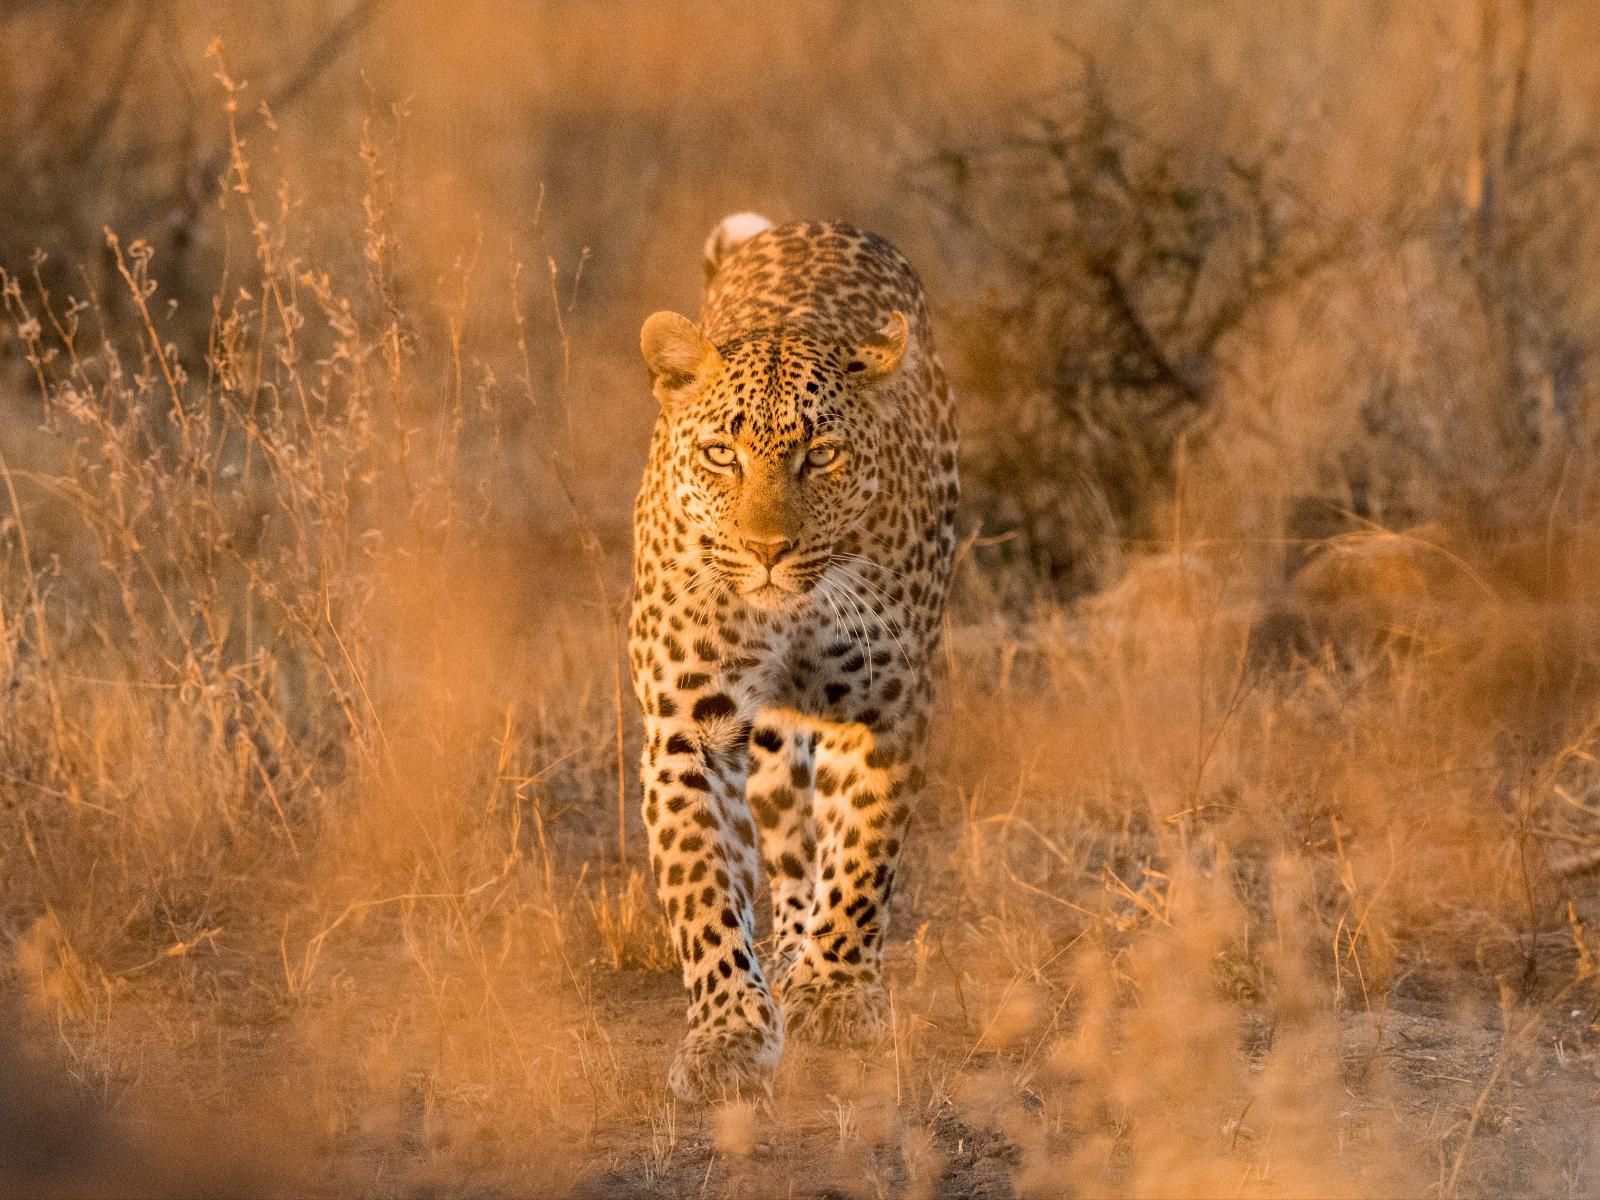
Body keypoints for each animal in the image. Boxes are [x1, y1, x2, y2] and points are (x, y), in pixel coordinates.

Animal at [624, 214, 947, 1100]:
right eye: (721, 455)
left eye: (822, 455)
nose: (767, 550)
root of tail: (811, 226)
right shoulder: (689, 730)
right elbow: (703, 888)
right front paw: (729, 1031)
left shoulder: (884, 710)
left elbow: (864, 854)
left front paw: (835, 993)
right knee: (789, 847)